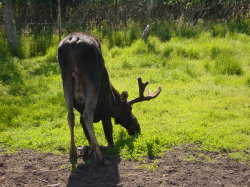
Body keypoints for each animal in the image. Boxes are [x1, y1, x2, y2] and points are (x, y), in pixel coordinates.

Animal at [57, 32, 161, 164]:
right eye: (129, 109)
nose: (137, 127)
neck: (113, 98)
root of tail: (74, 41)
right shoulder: (106, 107)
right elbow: (109, 136)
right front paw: (99, 148)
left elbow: (87, 134)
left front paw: (86, 148)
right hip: (93, 78)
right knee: (87, 115)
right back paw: (100, 157)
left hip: (65, 79)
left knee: (70, 116)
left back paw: (73, 153)